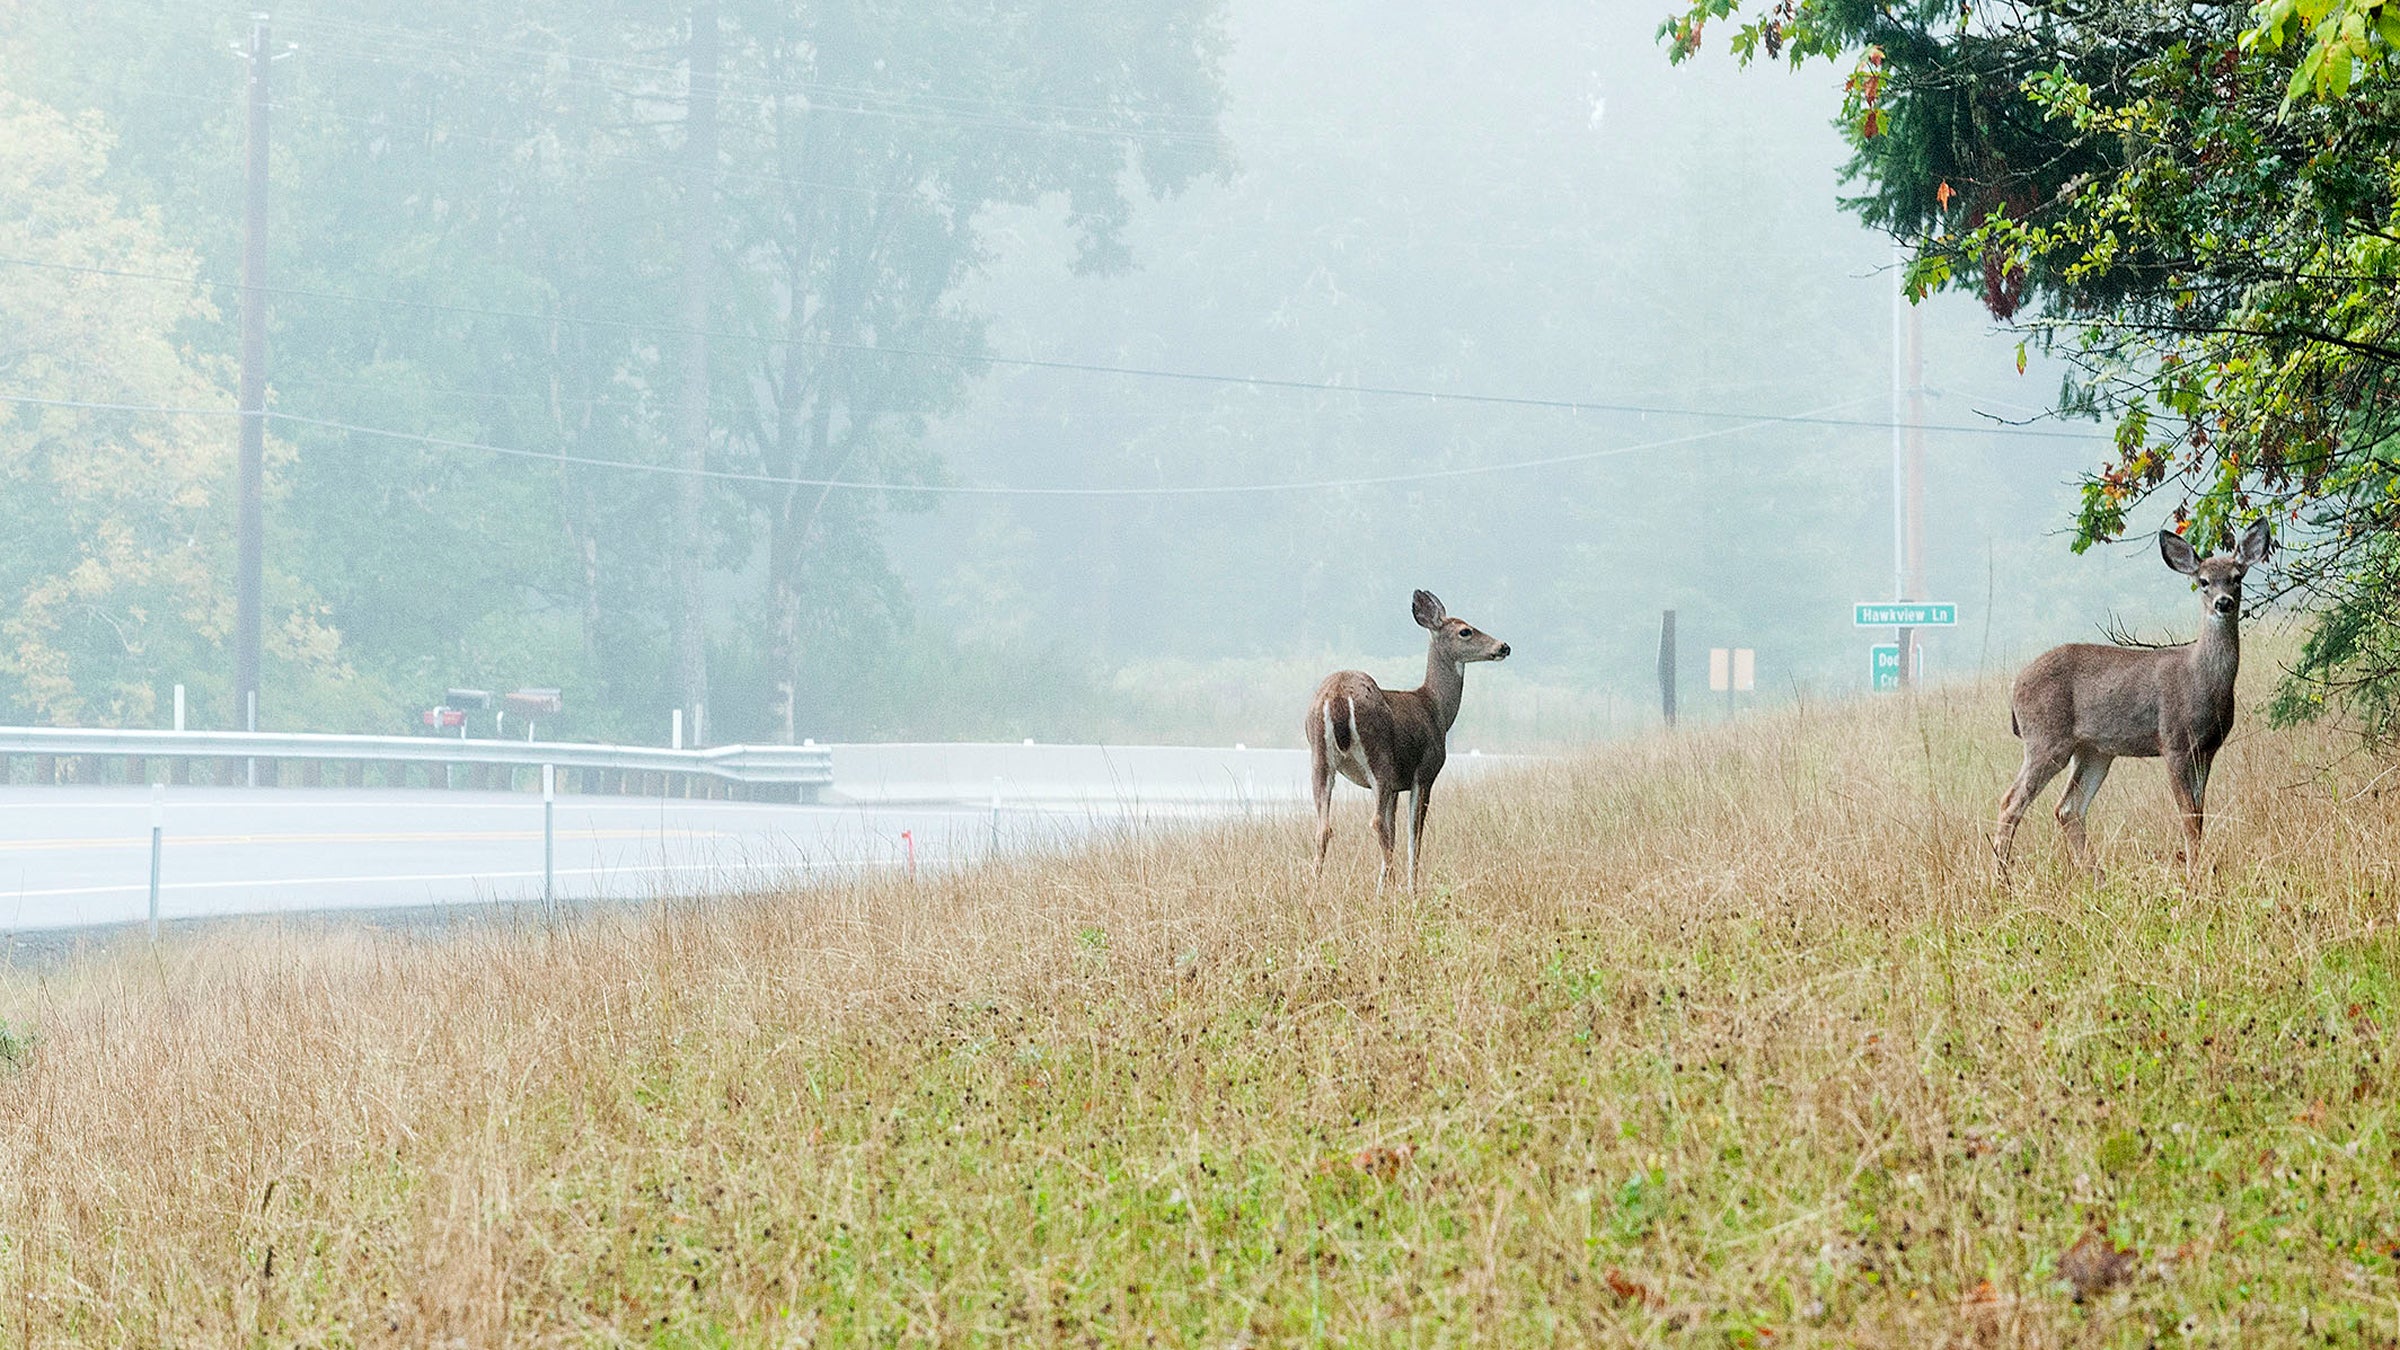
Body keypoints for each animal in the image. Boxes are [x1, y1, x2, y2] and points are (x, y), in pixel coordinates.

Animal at [1306, 589, 1511, 891]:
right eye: (1465, 631)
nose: (1503, 646)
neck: (1436, 710)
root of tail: (1338, 697)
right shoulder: (1424, 772)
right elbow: (1414, 834)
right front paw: (1411, 887)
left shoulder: (1395, 787)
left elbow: (1395, 832)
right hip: (1379, 756)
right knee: (1376, 822)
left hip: (1320, 757)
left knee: (1324, 827)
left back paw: (1315, 889)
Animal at [1994, 518, 2270, 881]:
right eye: (2203, 582)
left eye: (2237, 577)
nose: (2223, 602)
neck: (2202, 680)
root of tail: (2015, 687)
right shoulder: (2174, 743)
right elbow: (2187, 815)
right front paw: (2193, 874)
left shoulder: (2207, 749)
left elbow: (2199, 814)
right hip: (2046, 738)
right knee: (2010, 802)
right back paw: (2003, 880)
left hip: (2094, 750)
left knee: (2067, 807)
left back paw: (2097, 877)